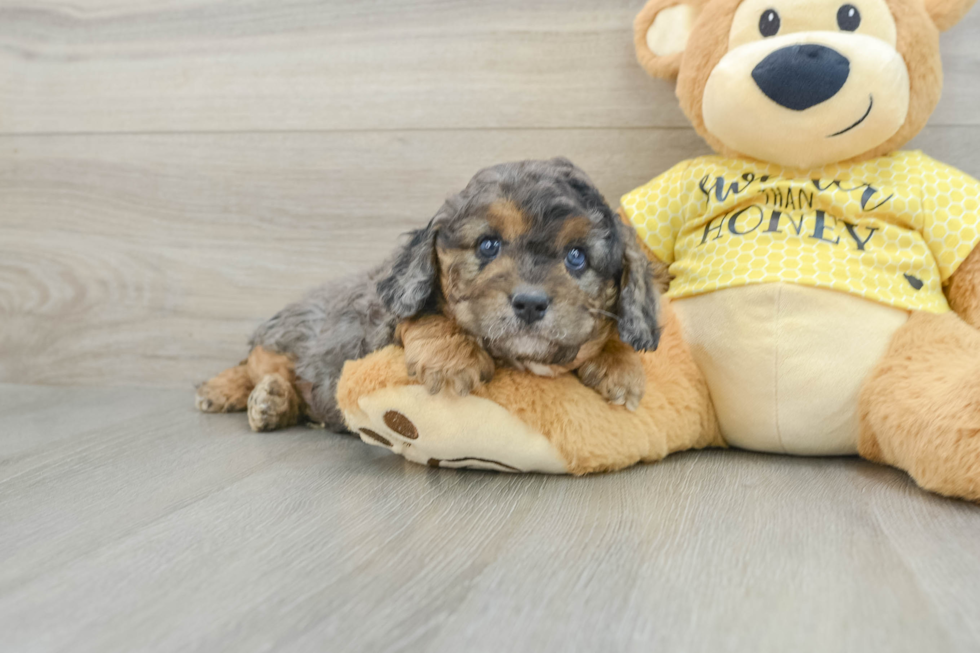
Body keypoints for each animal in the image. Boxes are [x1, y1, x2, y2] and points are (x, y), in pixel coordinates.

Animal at [195, 157, 660, 430]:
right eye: (487, 245)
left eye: (577, 257)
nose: (530, 302)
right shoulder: (378, 330)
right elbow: (425, 315)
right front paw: (453, 358)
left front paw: (620, 365)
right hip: (284, 339)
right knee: (253, 361)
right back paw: (227, 389)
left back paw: (273, 402)